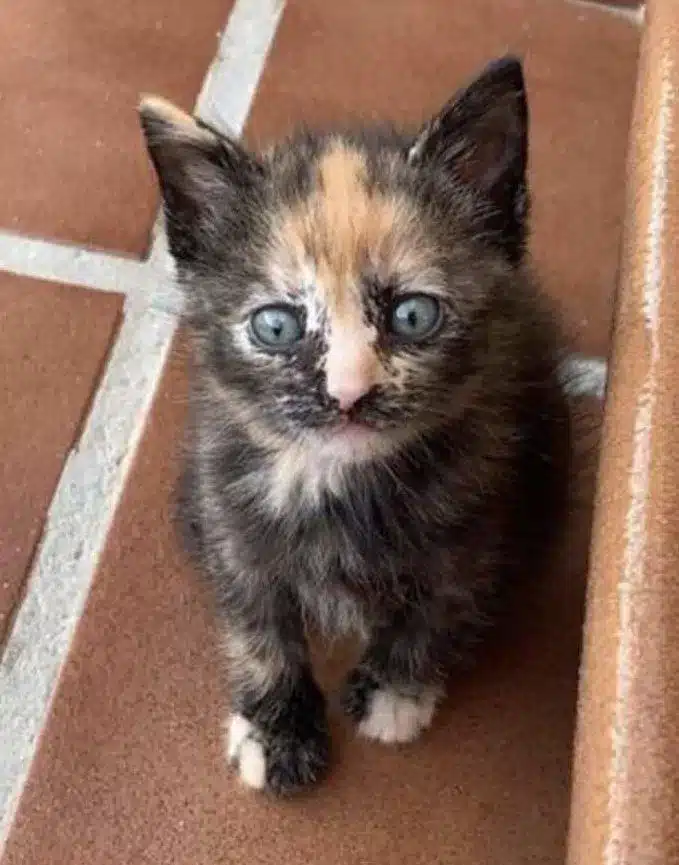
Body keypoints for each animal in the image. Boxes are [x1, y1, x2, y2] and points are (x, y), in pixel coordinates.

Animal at [141, 55, 572, 796]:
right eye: (277, 326)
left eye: (413, 315)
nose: (348, 393)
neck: (340, 482)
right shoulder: (227, 510)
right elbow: (255, 623)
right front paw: (275, 728)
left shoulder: (484, 510)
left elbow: (440, 605)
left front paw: (395, 689)